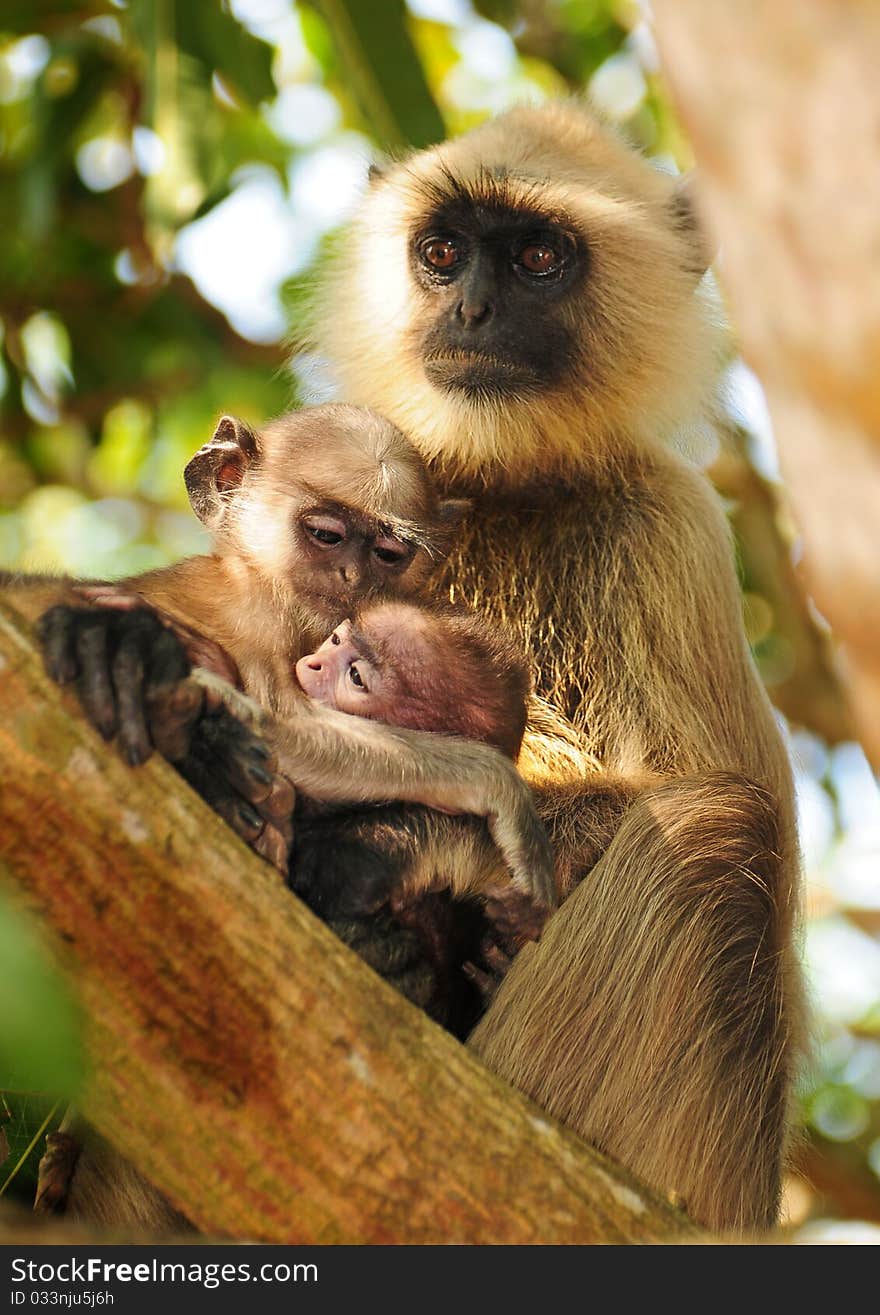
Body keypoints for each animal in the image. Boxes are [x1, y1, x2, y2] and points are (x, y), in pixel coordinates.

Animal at [298, 99, 799, 1230]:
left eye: (535, 258)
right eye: (442, 254)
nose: (474, 311)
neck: (499, 484)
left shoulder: (670, 528)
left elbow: (685, 789)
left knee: (718, 840)